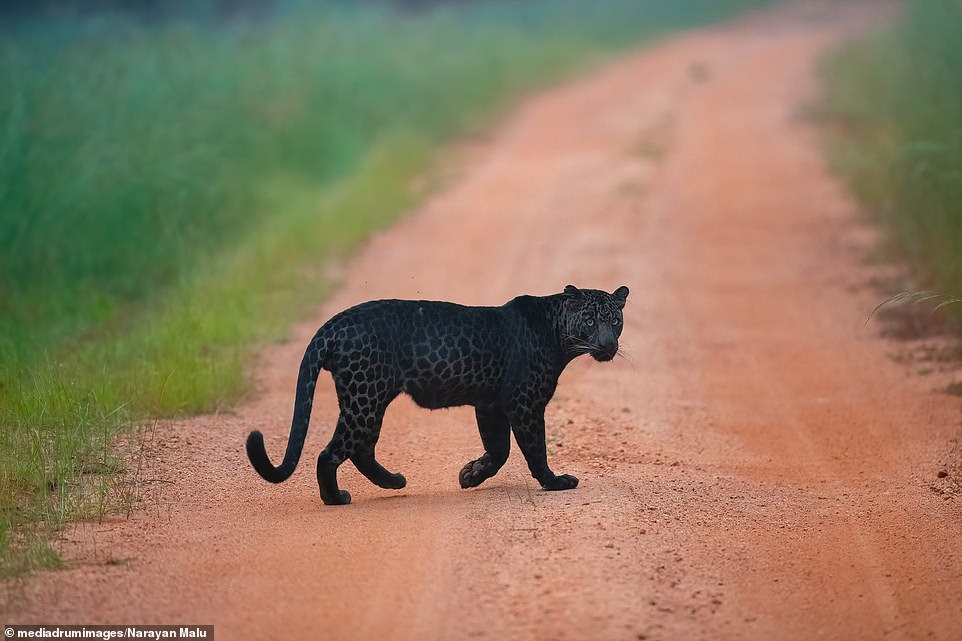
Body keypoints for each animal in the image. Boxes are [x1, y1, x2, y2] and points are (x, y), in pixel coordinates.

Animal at [244, 284, 628, 504]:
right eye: (591, 321)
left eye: (615, 321)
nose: (609, 345)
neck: (558, 333)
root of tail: (334, 323)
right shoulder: (525, 403)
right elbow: (535, 449)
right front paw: (555, 482)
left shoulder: (490, 405)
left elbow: (499, 449)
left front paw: (469, 475)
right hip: (365, 397)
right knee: (332, 452)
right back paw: (336, 498)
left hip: (369, 398)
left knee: (361, 449)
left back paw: (393, 482)